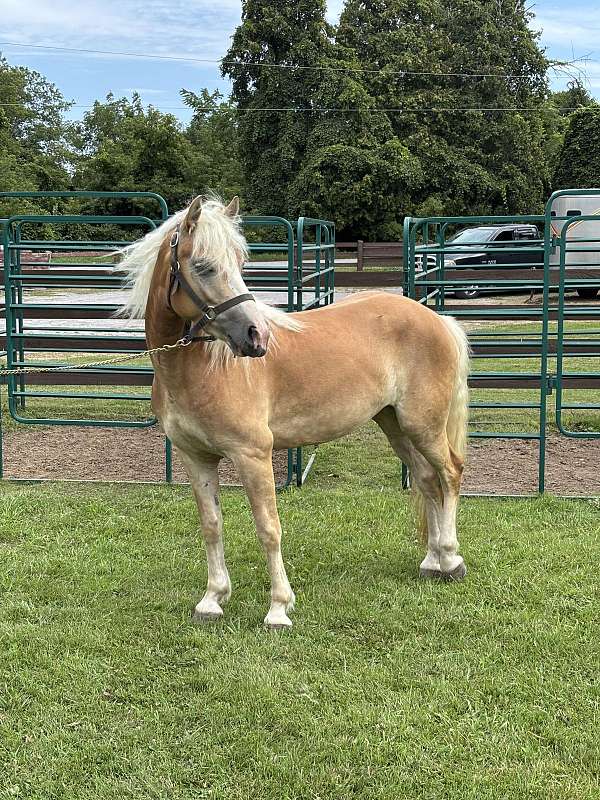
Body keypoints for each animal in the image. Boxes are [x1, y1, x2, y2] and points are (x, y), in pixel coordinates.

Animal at [120, 195, 470, 629]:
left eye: (240, 262)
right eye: (202, 266)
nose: (257, 336)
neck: (201, 369)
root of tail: (435, 318)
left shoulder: (253, 455)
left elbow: (268, 528)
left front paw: (278, 607)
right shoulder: (195, 457)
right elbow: (211, 526)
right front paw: (213, 599)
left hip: (423, 424)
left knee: (449, 473)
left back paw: (451, 559)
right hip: (394, 424)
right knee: (426, 480)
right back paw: (432, 561)